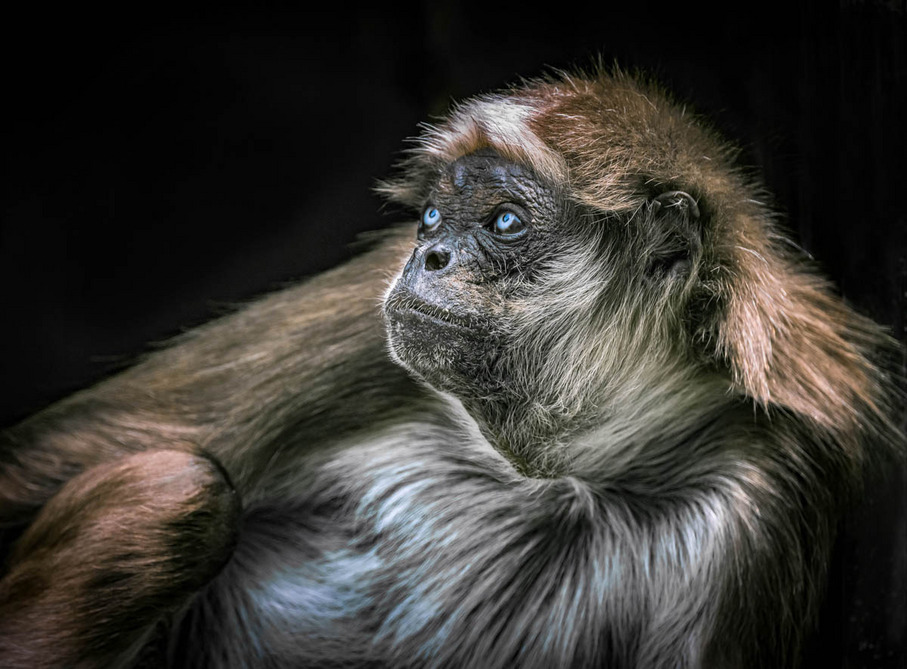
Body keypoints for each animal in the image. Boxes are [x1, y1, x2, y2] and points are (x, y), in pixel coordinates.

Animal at [0, 67, 902, 668]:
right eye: (434, 216)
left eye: (503, 221)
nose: (426, 254)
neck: (559, 475)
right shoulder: (366, 313)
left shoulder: (765, 484)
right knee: (178, 491)